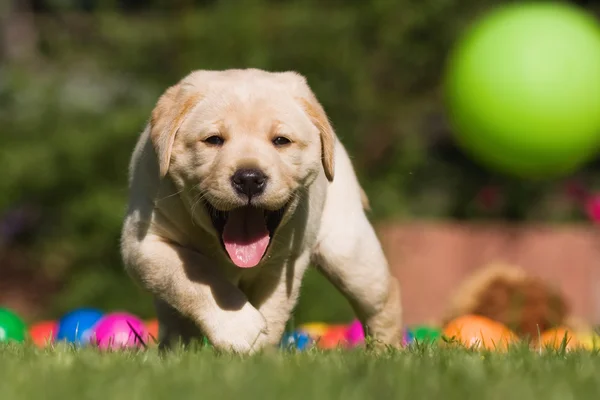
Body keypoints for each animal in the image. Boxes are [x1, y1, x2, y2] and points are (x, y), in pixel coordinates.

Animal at [120, 69, 404, 354]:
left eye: (281, 141)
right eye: (214, 140)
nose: (248, 179)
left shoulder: (284, 261)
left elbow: (273, 310)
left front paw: (260, 353)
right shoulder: (143, 244)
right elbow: (190, 273)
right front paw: (238, 328)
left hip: (348, 252)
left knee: (384, 301)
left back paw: (385, 351)